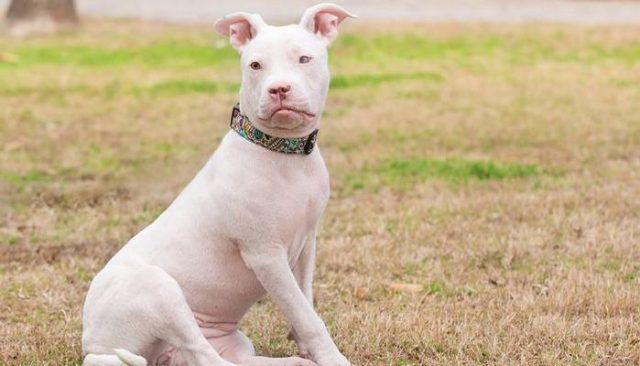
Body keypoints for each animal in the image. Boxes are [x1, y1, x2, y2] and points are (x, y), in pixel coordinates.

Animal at [81, 2, 356, 366]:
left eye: (304, 59)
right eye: (255, 65)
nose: (279, 89)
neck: (282, 153)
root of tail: (93, 346)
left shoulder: (306, 245)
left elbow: (305, 304)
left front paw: (305, 347)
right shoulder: (265, 255)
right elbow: (305, 315)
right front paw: (331, 357)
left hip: (228, 340)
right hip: (159, 289)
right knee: (204, 355)